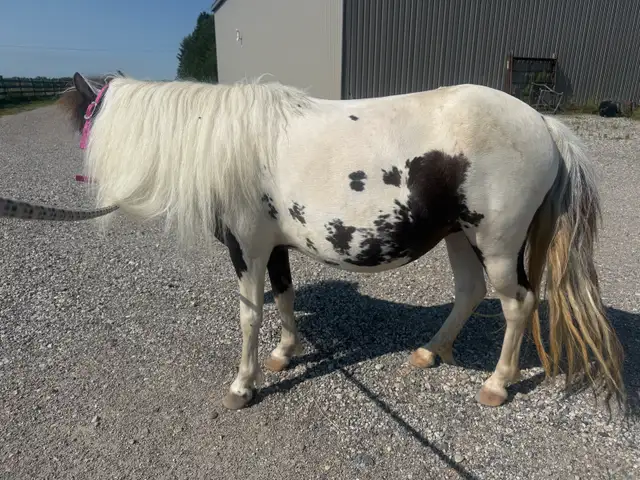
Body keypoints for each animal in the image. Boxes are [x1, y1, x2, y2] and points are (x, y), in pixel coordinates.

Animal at [6, 71, 624, 411]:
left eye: (87, 115)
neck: (221, 140)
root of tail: (545, 124)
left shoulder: (247, 246)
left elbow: (249, 313)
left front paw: (244, 384)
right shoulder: (273, 244)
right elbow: (282, 296)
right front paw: (284, 354)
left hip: (495, 243)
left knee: (518, 304)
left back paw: (497, 384)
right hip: (459, 237)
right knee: (471, 293)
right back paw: (431, 351)